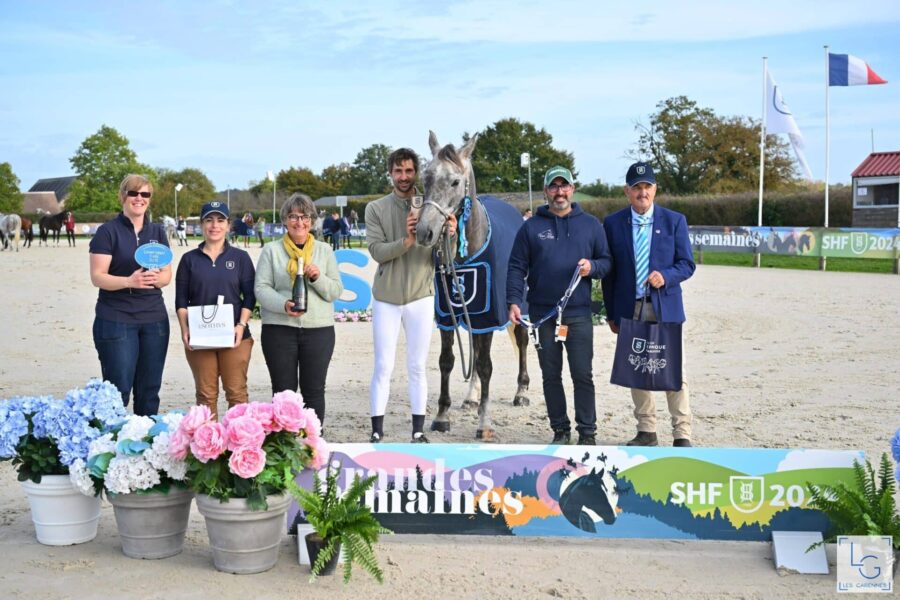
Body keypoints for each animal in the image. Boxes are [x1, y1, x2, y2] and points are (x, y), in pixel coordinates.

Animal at [414, 131, 532, 440]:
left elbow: (486, 365)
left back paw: (521, 391)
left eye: (455, 182)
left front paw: (484, 423)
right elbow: (448, 360)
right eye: (425, 178)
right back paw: (471, 397)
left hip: (519, 307)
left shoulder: (489, 315)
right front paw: (442, 416)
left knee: (522, 342)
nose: (424, 232)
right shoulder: (449, 315)